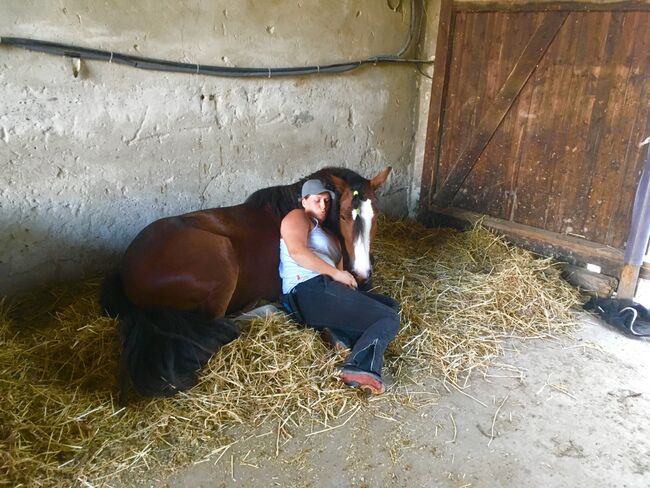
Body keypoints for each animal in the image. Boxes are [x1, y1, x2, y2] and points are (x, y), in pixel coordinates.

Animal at [101, 167, 390, 396]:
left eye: (376, 214)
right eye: (343, 215)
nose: (362, 272)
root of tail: (127, 271)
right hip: (223, 257)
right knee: (221, 323)